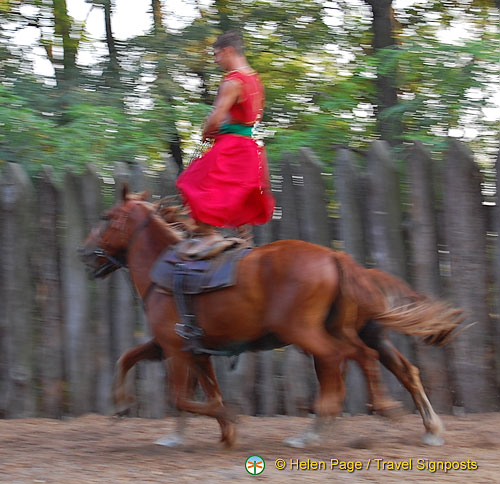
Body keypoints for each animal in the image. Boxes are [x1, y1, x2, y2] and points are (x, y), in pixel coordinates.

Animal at [81, 187, 464, 448]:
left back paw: (341, 421)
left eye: (106, 218)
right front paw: (125, 405)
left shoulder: (175, 350)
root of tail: (336, 258)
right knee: (396, 368)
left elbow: (181, 397)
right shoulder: (188, 349)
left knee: (345, 361)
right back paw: (426, 427)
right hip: (359, 332)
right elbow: (136, 362)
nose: (84, 253)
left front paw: (227, 421)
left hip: (306, 333)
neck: (165, 269)